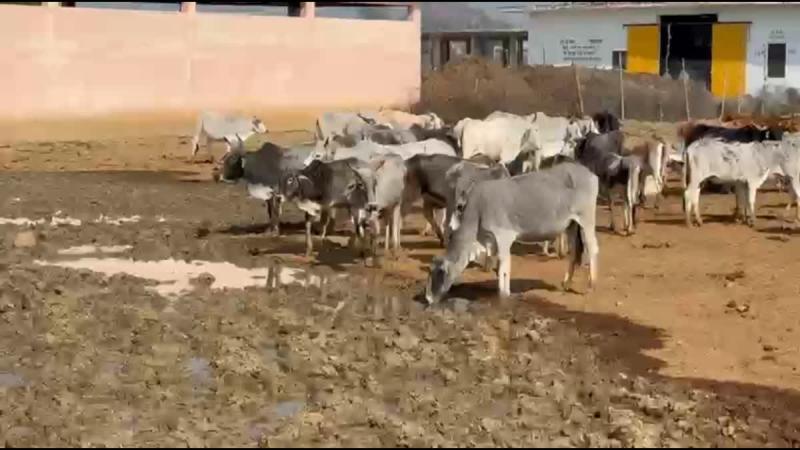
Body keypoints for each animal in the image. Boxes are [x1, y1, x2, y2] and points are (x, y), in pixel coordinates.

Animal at [424, 162, 600, 304]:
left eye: (439, 272)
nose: (428, 298)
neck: (477, 212)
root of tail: (590, 174)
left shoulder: (503, 237)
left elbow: (504, 266)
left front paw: (503, 293)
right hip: (572, 225)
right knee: (574, 252)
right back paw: (566, 283)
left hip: (586, 220)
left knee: (592, 248)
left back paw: (591, 285)